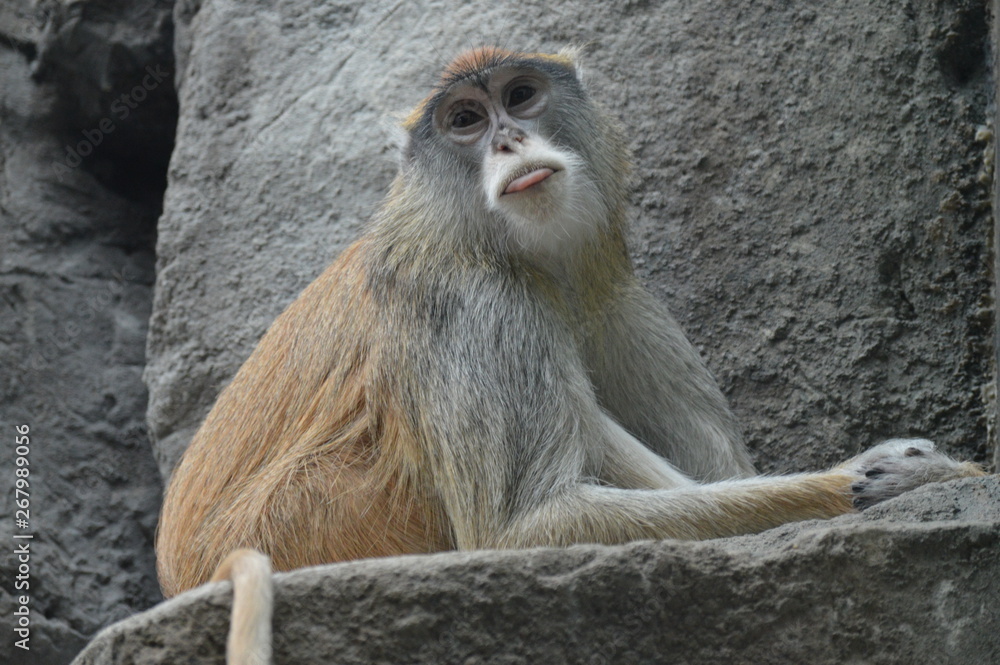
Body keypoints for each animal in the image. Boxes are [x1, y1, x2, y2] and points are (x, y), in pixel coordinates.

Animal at [155, 46, 986, 664]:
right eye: (464, 119)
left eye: (520, 96)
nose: (507, 140)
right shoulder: (477, 304)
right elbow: (523, 530)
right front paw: (891, 476)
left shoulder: (614, 292)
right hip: (319, 512)